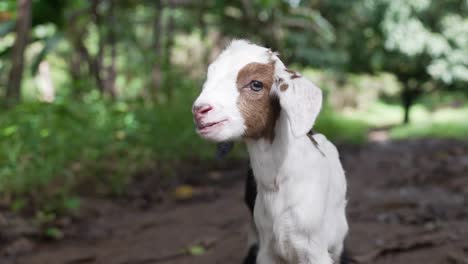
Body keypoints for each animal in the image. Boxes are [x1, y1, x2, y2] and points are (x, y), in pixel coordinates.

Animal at [192, 40, 350, 262]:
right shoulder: (266, 248)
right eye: (209, 77)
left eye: (256, 84)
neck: (276, 182)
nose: (200, 110)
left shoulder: (314, 250)